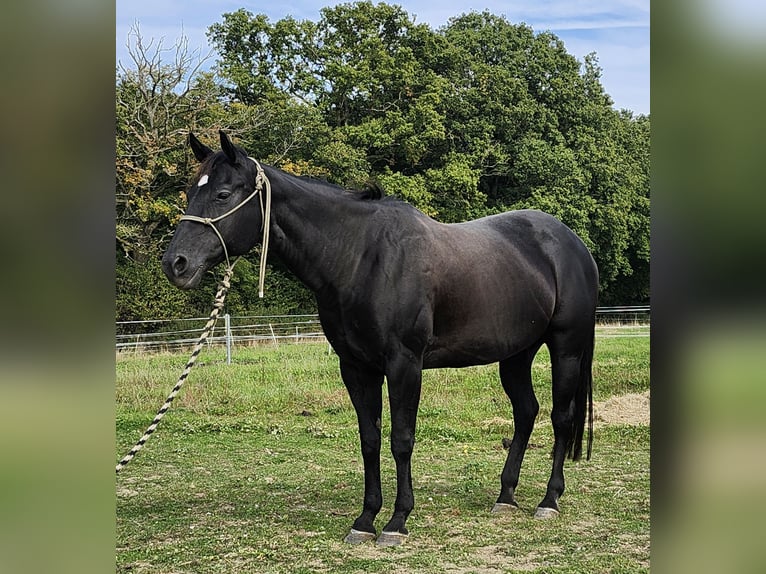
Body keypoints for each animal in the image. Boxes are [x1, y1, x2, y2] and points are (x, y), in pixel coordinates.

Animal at [162, 130, 599, 547]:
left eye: (222, 194)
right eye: (189, 192)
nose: (175, 264)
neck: (361, 257)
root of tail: (573, 244)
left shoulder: (404, 365)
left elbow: (401, 439)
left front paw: (397, 521)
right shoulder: (356, 367)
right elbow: (369, 440)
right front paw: (365, 520)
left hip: (566, 349)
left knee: (561, 417)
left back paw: (549, 500)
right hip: (516, 355)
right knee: (526, 412)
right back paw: (506, 497)